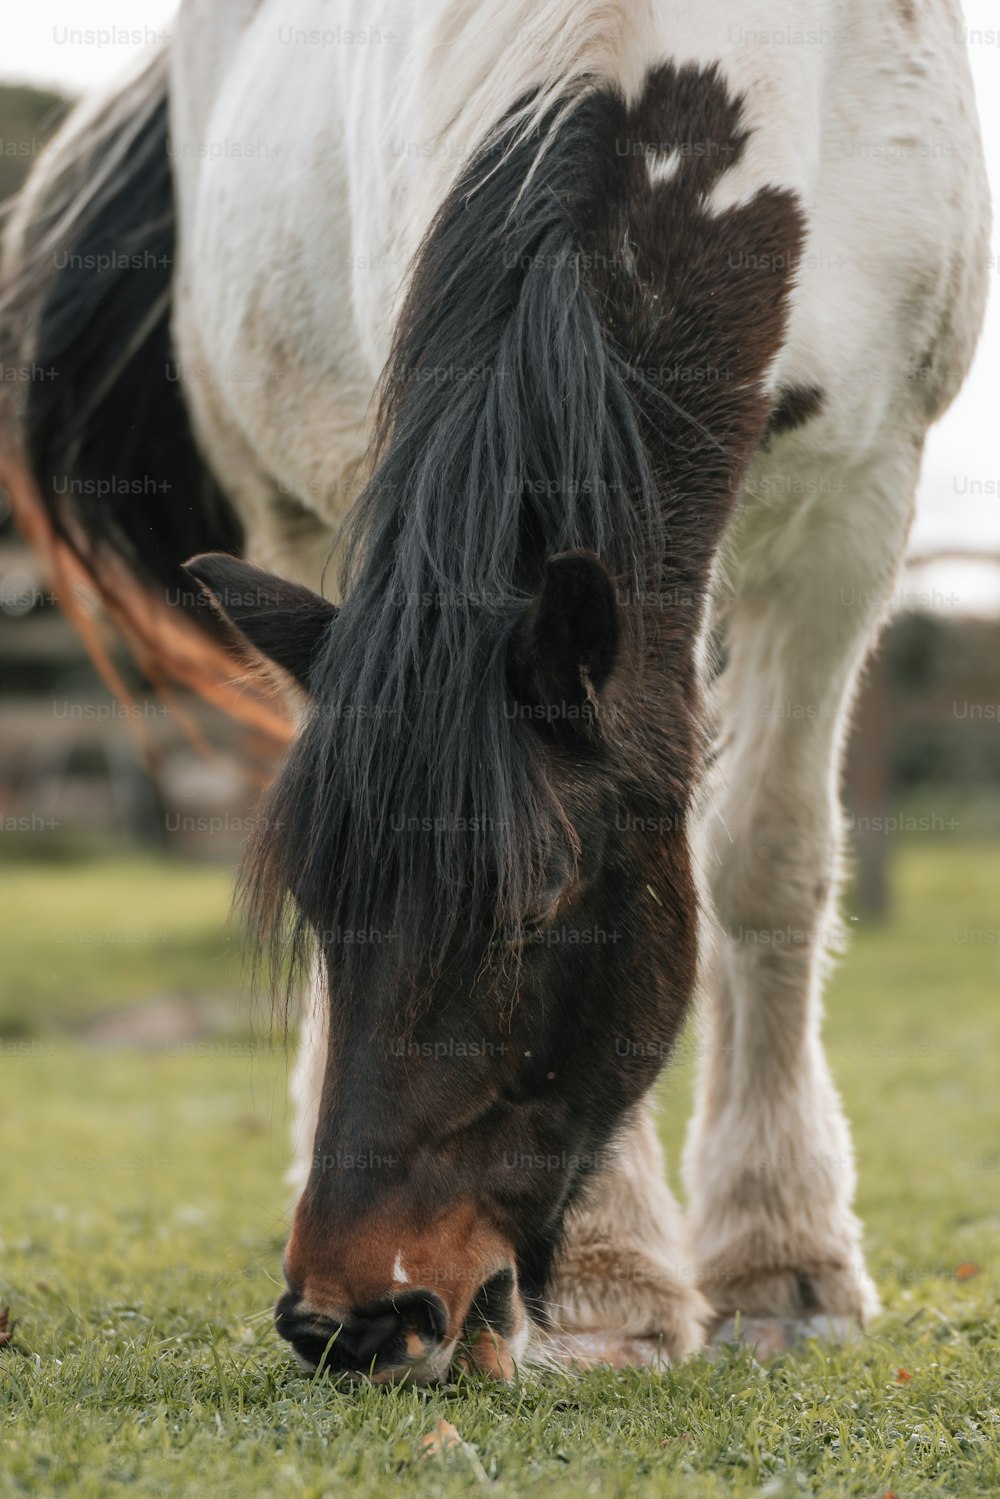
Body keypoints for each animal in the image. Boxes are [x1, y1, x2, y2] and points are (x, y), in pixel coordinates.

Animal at [0, 0, 989, 1379]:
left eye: (530, 909)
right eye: (317, 902)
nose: (352, 1316)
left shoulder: (857, 501)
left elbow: (764, 862)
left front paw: (781, 1266)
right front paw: (615, 1285)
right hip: (292, 509)